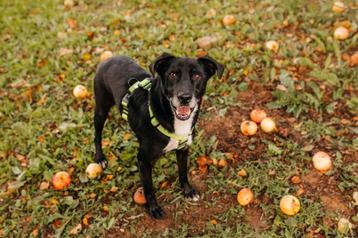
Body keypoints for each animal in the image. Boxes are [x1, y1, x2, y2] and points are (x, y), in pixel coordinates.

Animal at [94, 53, 224, 218]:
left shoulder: (183, 149)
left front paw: (187, 191)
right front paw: (154, 208)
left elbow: (183, 172)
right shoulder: (143, 160)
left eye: (197, 75)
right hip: (101, 109)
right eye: (172, 75)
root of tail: (110, 58)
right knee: (96, 134)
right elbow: (149, 188)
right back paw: (100, 158)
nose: (184, 97)